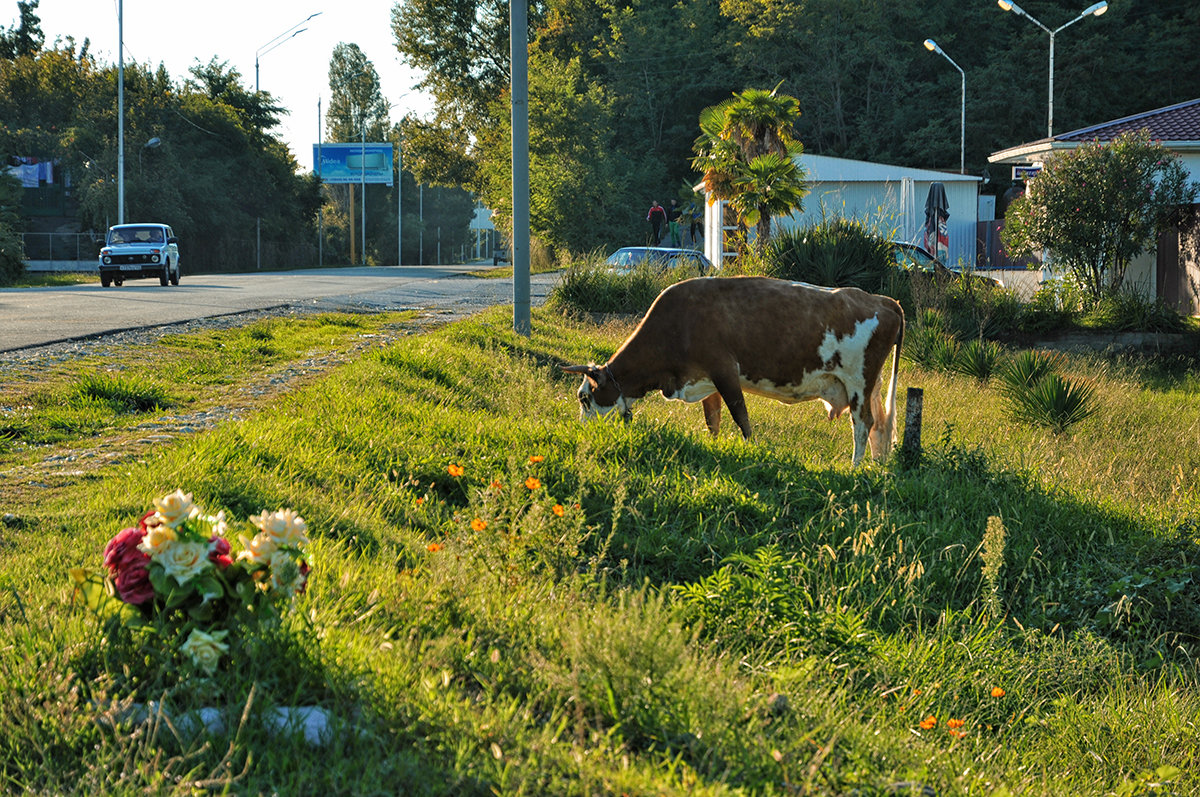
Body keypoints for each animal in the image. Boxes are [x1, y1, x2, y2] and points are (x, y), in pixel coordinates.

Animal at [561, 277, 902, 468]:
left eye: (584, 398)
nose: (582, 431)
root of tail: (882, 300)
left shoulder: (724, 370)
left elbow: (741, 416)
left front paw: (753, 450)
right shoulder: (705, 380)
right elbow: (712, 420)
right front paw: (714, 447)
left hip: (858, 382)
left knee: (862, 424)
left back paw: (854, 467)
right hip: (868, 387)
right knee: (877, 426)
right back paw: (874, 464)